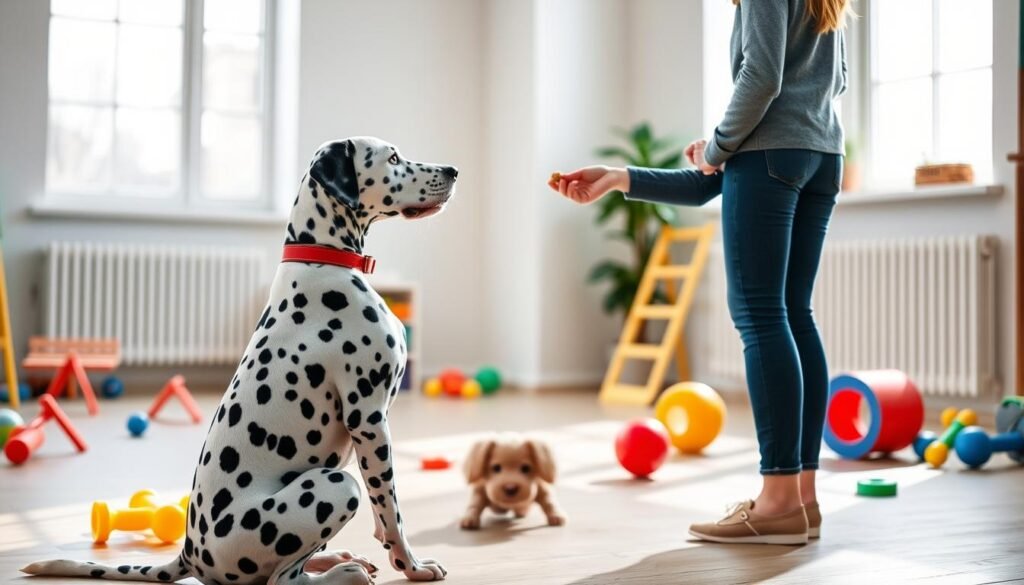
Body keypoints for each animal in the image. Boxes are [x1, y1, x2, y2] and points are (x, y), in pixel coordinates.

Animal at [24, 136, 458, 581]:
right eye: (393, 157)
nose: (453, 171)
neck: (323, 259)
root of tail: (190, 554)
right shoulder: (369, 420)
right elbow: (391, 512)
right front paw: (412, 566)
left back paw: (333, 559)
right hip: (337, 486)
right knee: (283, 578)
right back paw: (342, 574)